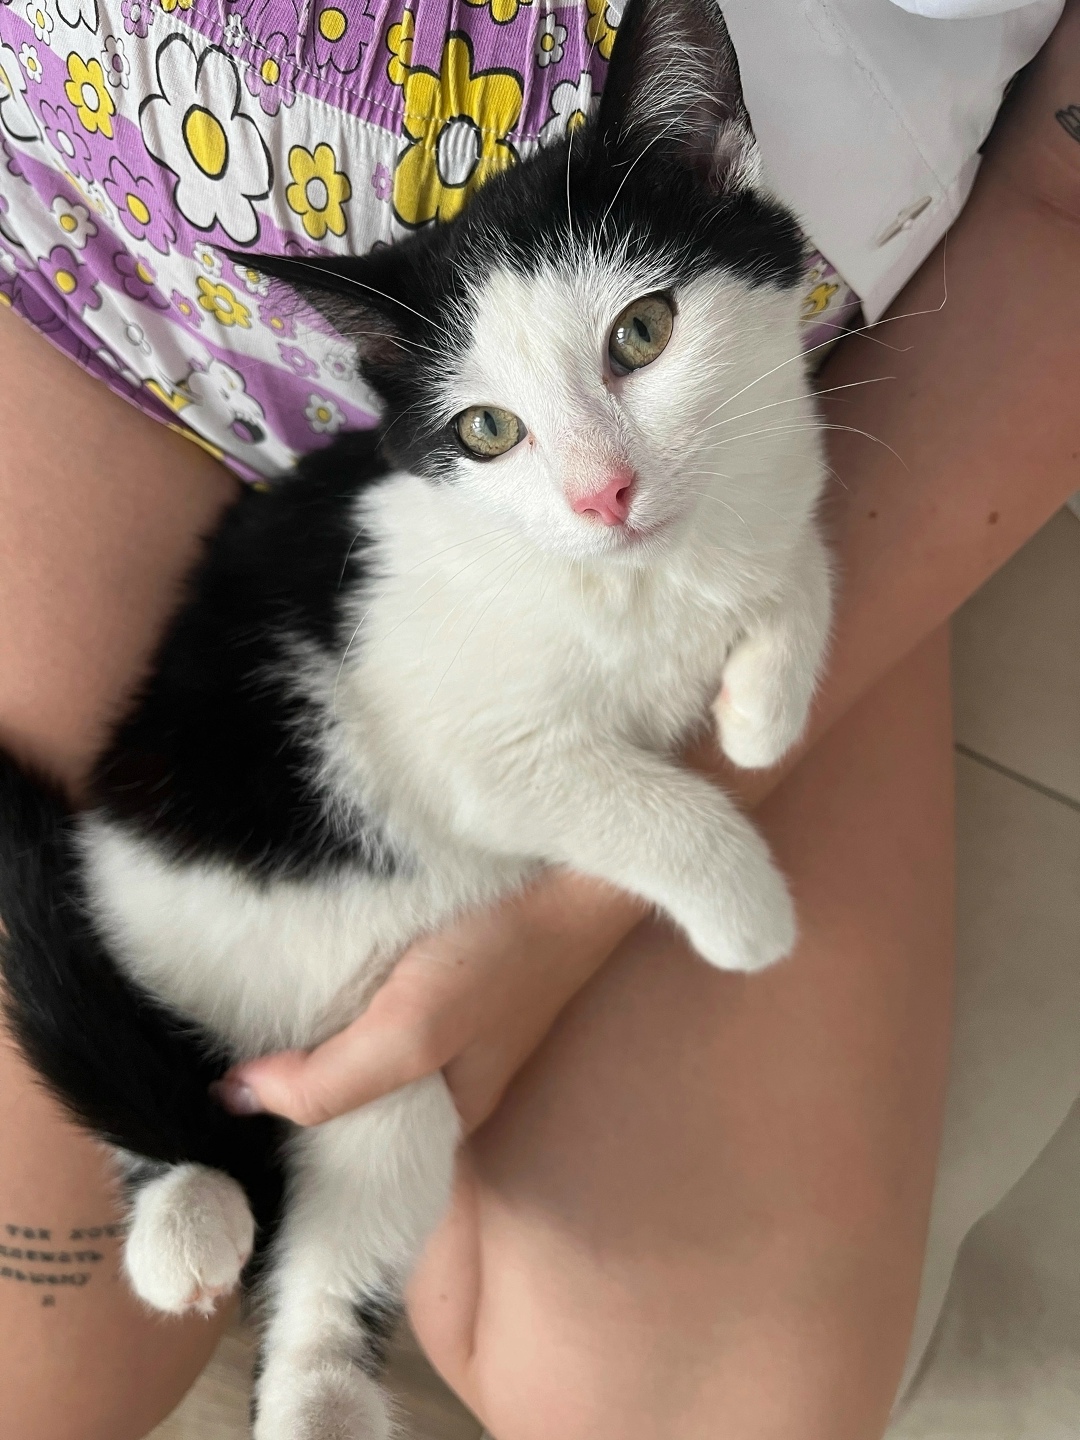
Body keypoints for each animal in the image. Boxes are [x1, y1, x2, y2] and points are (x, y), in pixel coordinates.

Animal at [0, 0, 832, 1434]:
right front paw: (745, 908)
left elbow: (806, 569)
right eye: (487, 431)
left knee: (337, 1237)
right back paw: (182, 1221)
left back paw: (320, 1395)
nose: (605, 494)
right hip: (150, 920)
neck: (651, 578)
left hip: (385, 1075)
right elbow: (612, 791)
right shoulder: (463, 738)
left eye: (644, 333)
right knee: (120, 1062)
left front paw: (764, 705)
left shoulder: (778, 486)